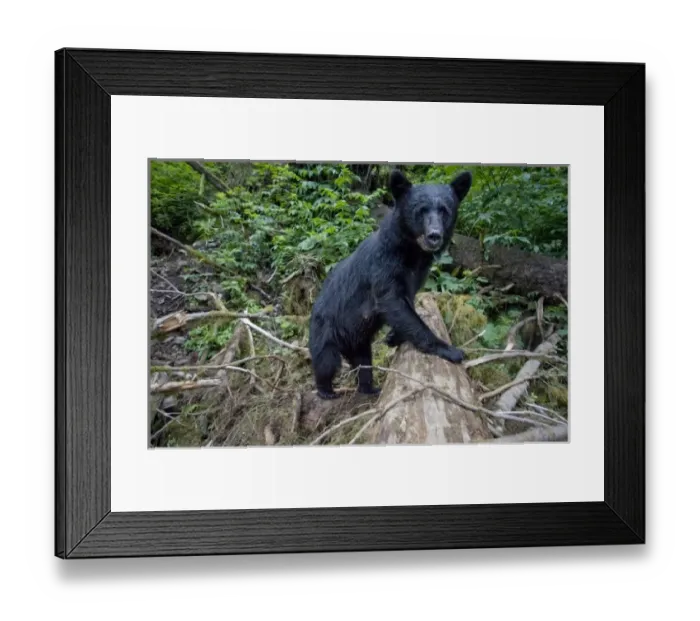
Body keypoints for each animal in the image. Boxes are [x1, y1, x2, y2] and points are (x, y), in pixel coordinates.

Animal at [308, 168, 474, 400]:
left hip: (359, 341)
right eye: (421, 210)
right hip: (325, 329)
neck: (413, 253)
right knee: (326, 361)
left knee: (363, 363)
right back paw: (327, 391)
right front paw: (450, 350)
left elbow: (406, 304)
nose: (434, 236)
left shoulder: (418, 273)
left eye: (444, 211)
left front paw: (393, 336)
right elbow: (392, 301)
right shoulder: (384, 264)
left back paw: (369, 388)